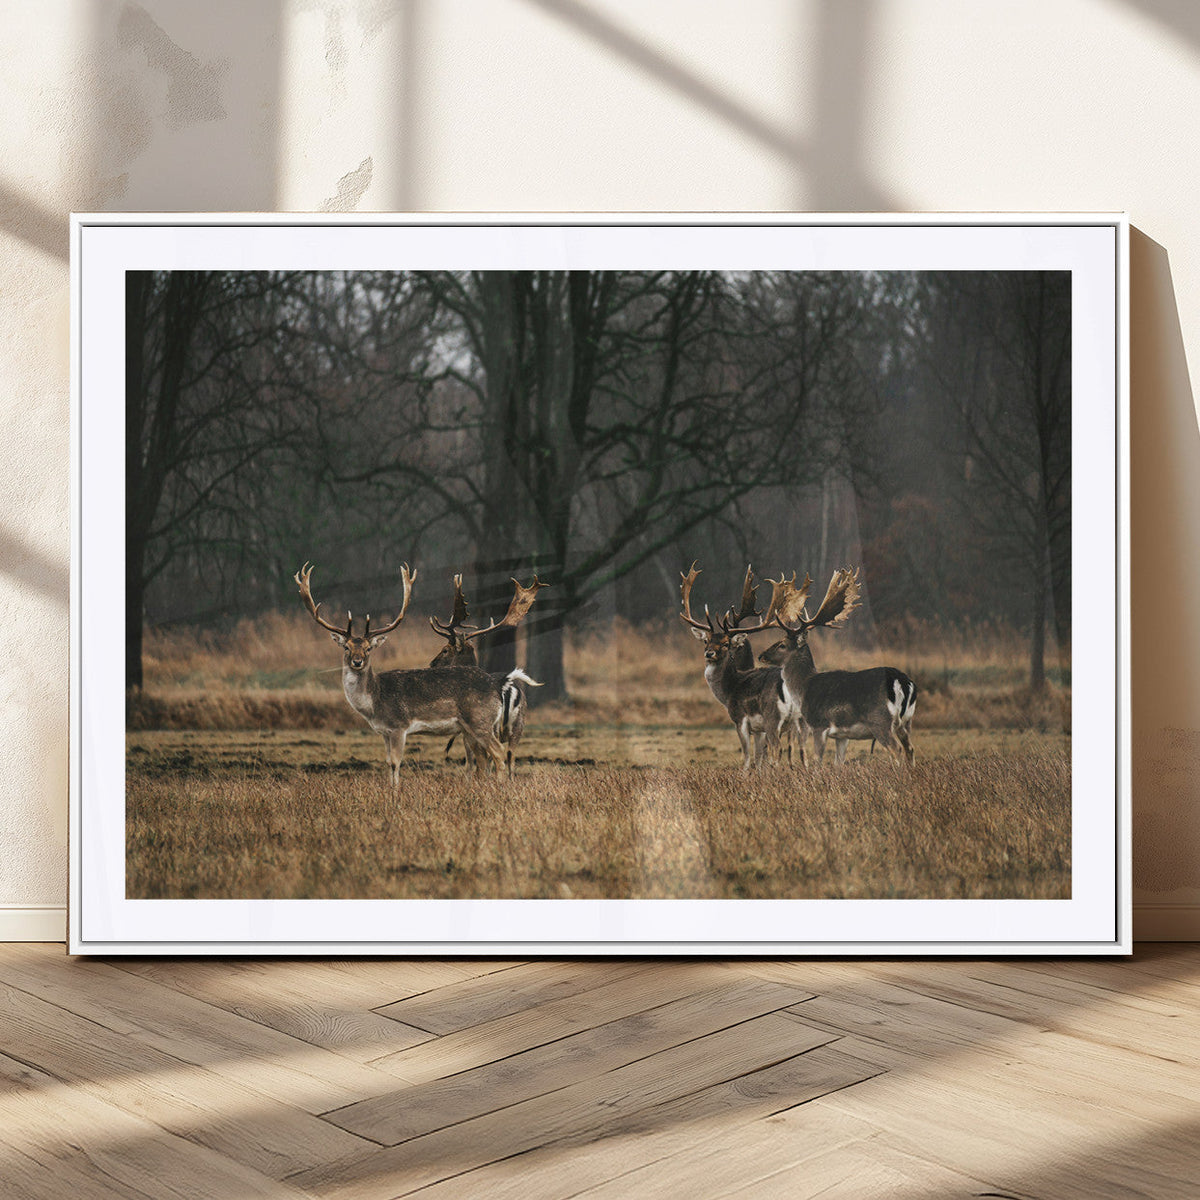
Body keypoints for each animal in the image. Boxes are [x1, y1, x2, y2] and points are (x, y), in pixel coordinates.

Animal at [294, 562, 509, 790]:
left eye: (369, 648)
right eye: (346, 647)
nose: (357, 662)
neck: (374, 703)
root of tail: (497, 689)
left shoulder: (399, 726)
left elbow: (396, 762)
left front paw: (396, 791)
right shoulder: (384, 732)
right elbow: (388, 762)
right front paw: (390, 789)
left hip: (480, 719)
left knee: (498, 752)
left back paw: (500, 787)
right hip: (470, 728)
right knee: (484, 757)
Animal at [428, 572, 547, 777]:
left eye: (445, 650)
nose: (432, 664)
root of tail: (507, 685)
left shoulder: (467, 732)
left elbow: (473, 762)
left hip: (487, 725)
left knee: (492, 757)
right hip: (519, 725)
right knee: (511, 759)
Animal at [679, 562, 791, 771]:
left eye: (725, 643)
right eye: (705, 641)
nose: (709, 654)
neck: (729, 689)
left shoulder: (740, 718)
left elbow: (748, 758)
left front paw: (745, 774)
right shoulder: (759, 729)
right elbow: (759, 758)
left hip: (773, 718)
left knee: (778, 751)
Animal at [758, 568, 917, 767]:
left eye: (782, 645)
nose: (761, 656)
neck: (804, 688)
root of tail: (902, 681)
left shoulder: (819, 724)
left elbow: (817, 760)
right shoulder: (842, 735)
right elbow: (838, 763)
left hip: (880, 720)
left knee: (896, 750)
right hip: (907, 721)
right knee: (910, 749)